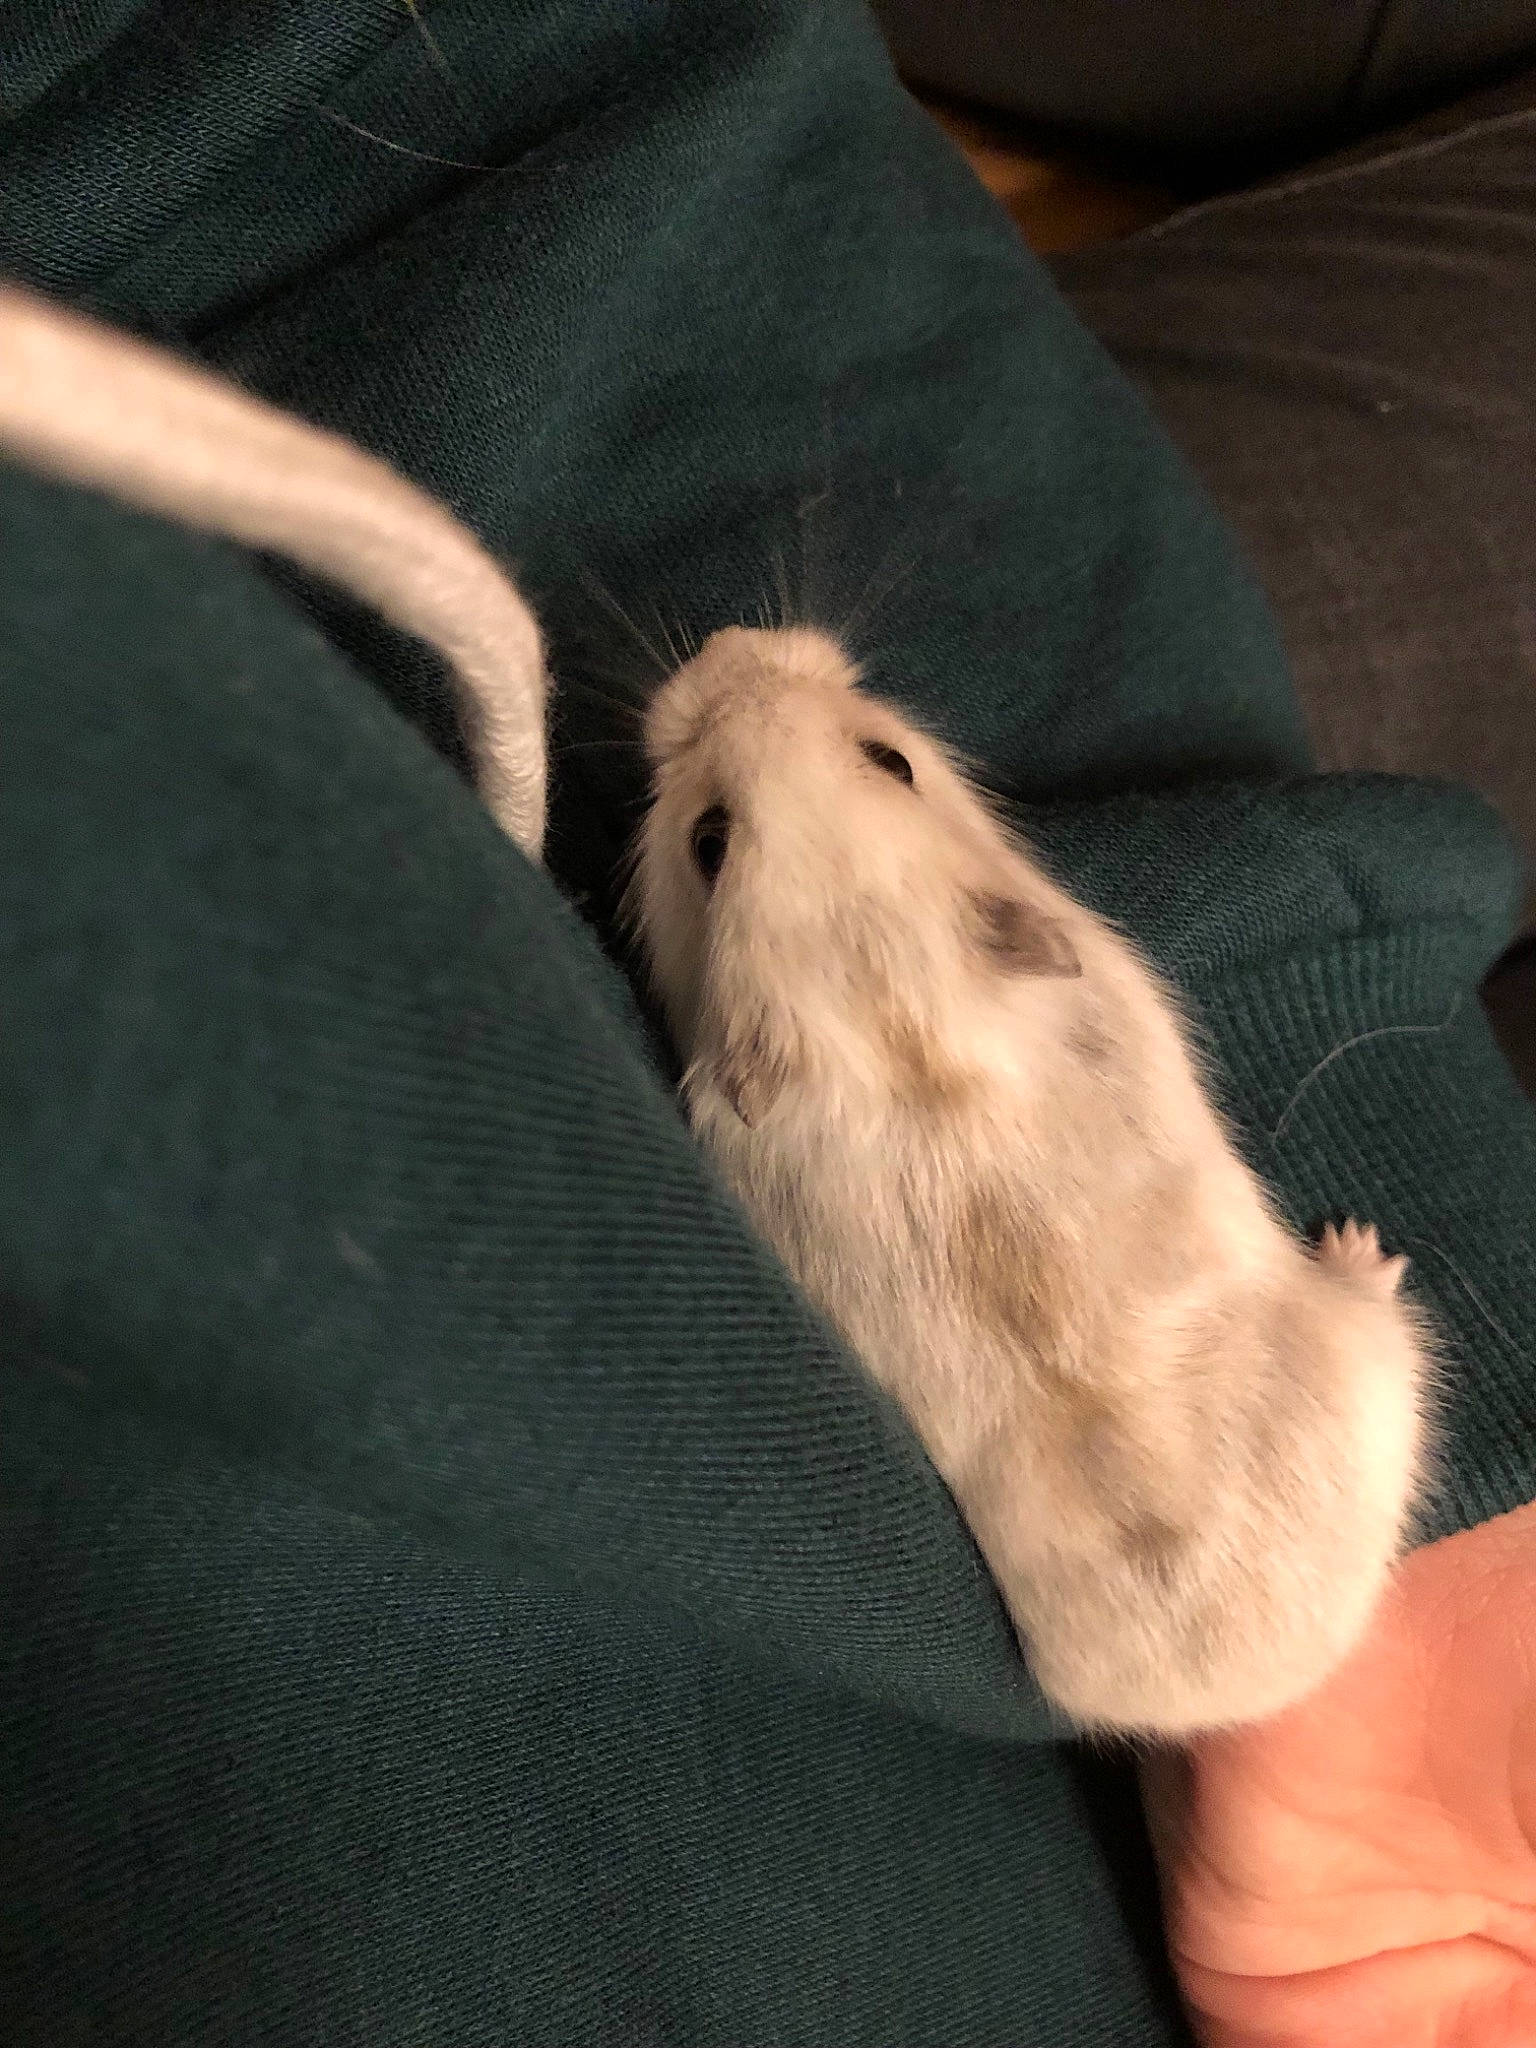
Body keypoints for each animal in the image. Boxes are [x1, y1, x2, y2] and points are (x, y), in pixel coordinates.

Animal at [631, 624, 1433, 1735]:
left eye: (890, 761)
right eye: (705, 840)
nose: (727, 644)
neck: (891, 1006)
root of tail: (1271, 1678)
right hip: (1384, 1354)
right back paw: (1362, 1248)